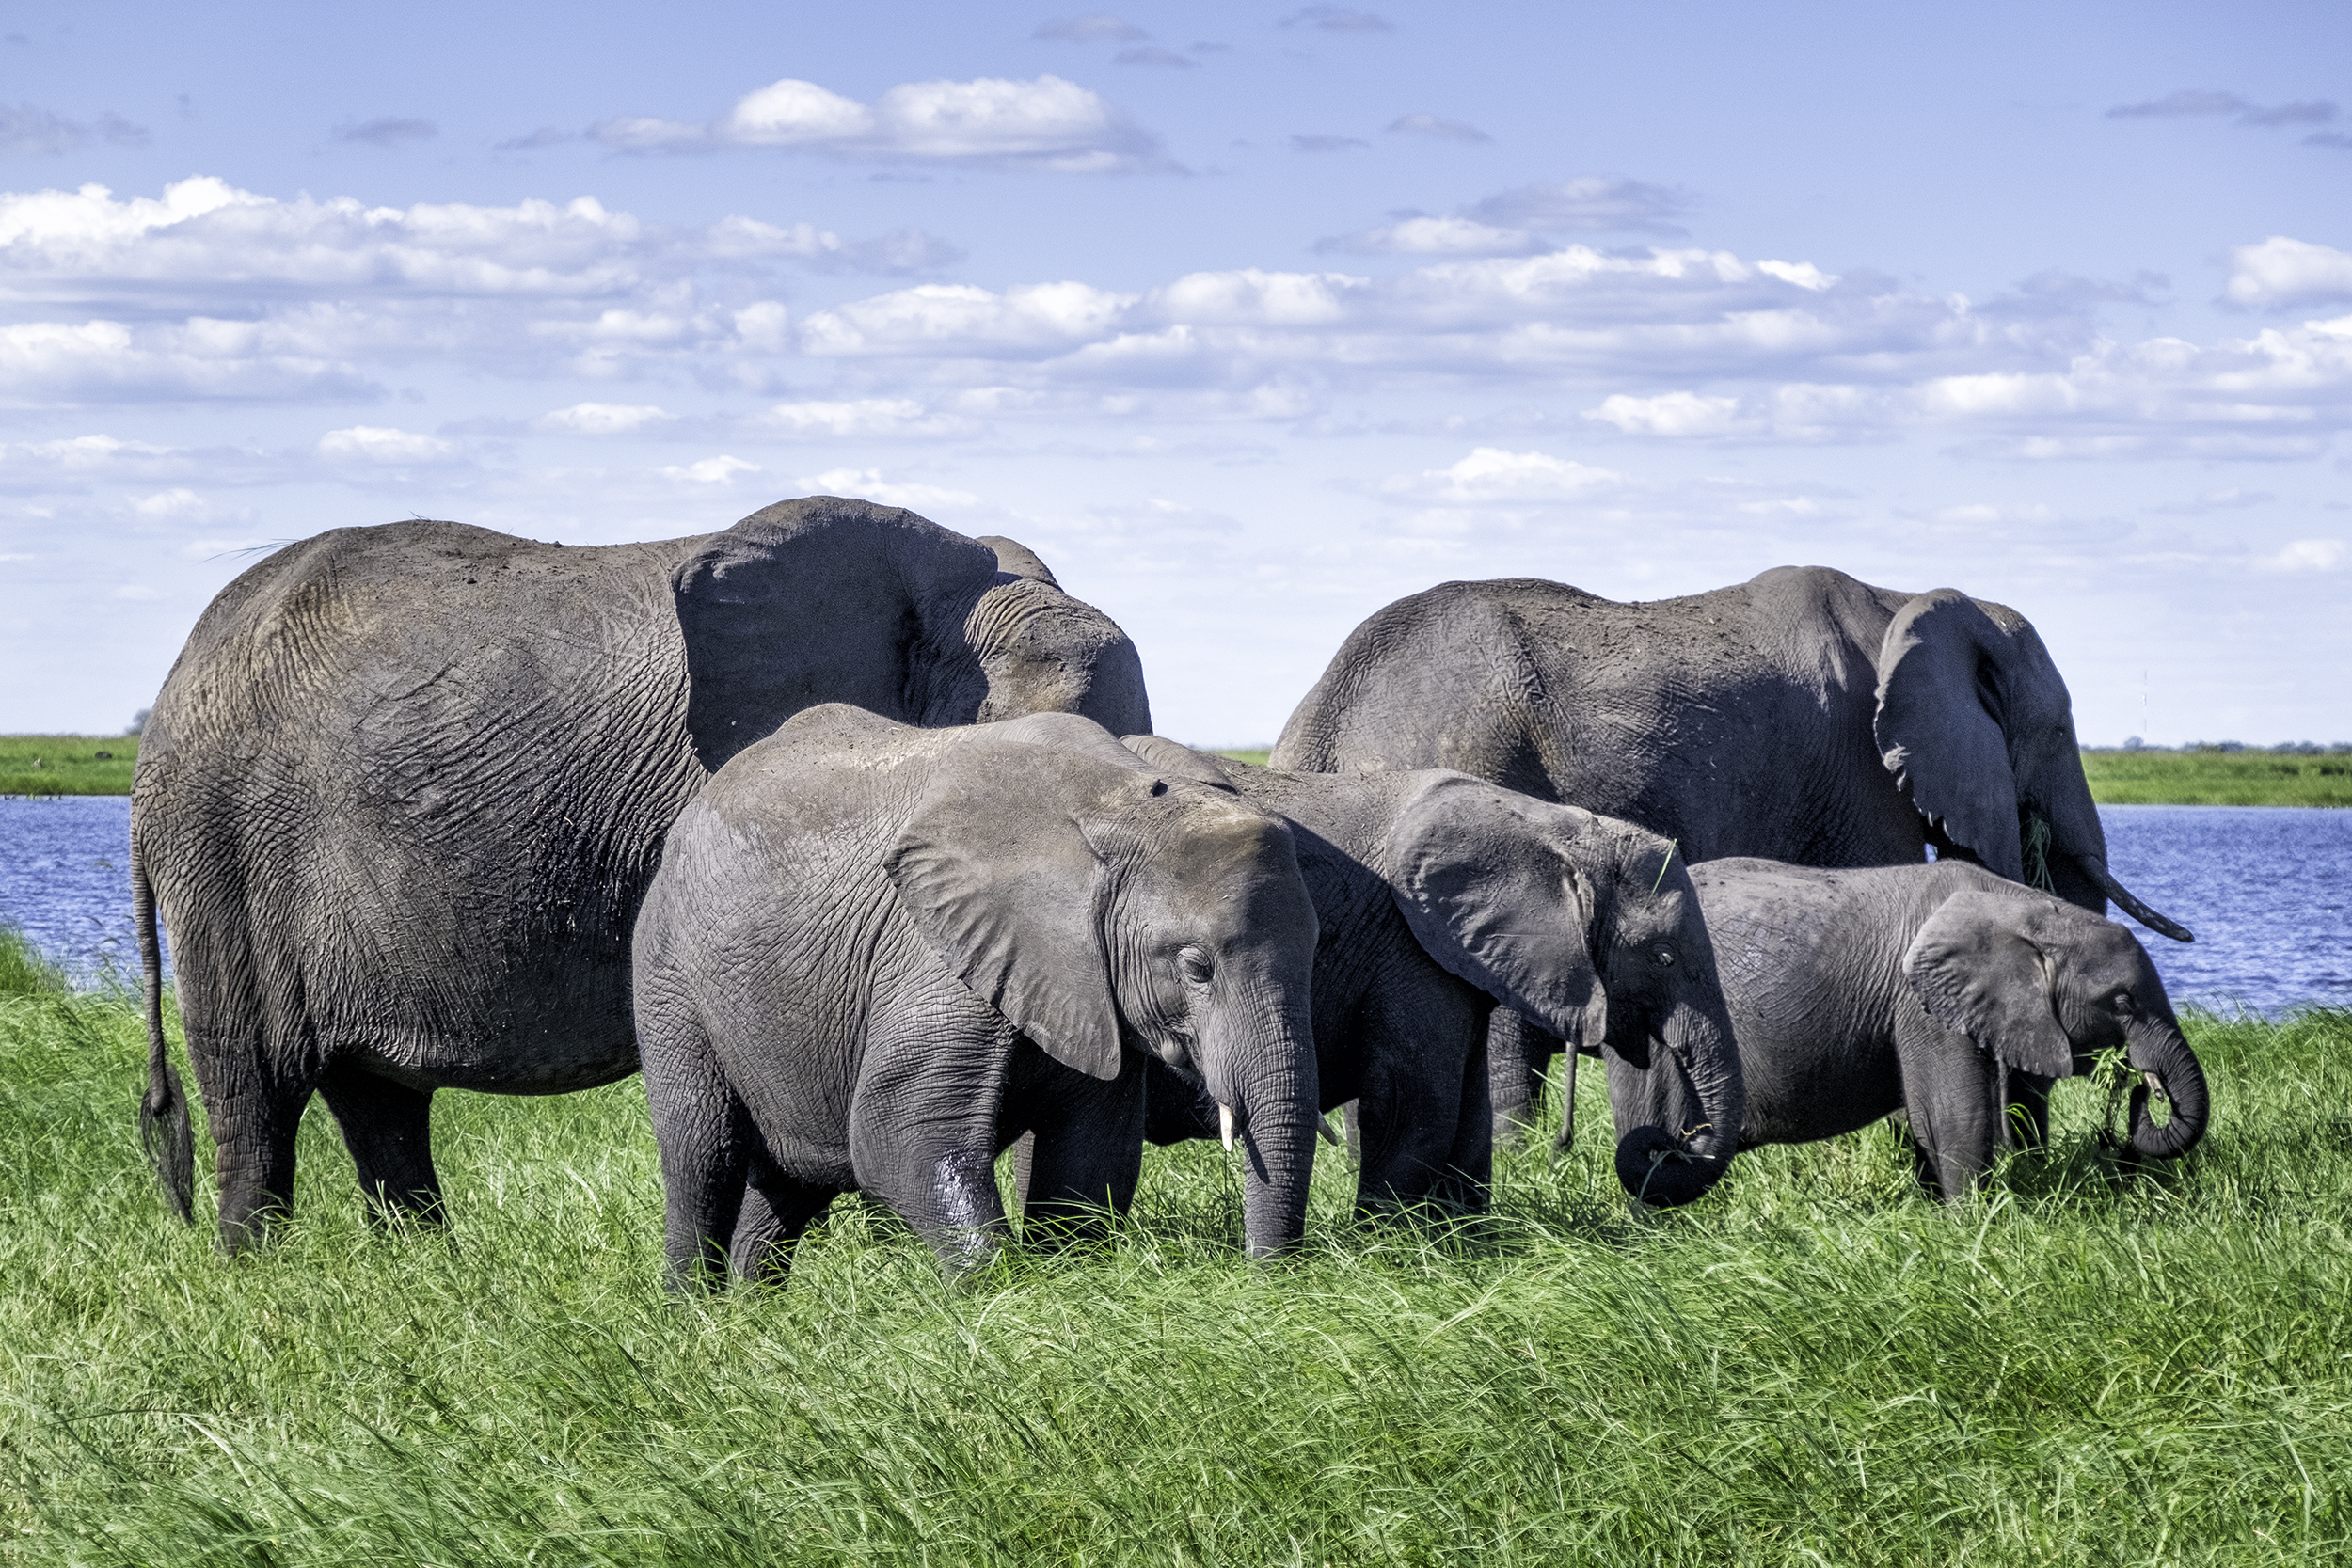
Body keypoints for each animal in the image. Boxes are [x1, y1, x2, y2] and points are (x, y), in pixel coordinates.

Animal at [626, 709, 1327, 1288]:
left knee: (789, 1183)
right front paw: (1004, 1301)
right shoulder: (935, 955)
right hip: (666, 969)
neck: (1126, 802)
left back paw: (754, 1318)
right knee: (703, 1155)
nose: (1265, 1284)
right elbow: (902, 1137)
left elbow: (1089, 1161)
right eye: (1196, 967)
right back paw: (695, 1318)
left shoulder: (1091, 987)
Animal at [1628, 860, 2211, 1203]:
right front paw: (1973, 1228)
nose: (2142, 1087)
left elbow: (1967, 1113)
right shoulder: (1921, 1004)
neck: (2028, 909)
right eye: (2122, 1002)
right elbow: (1956, 1113)